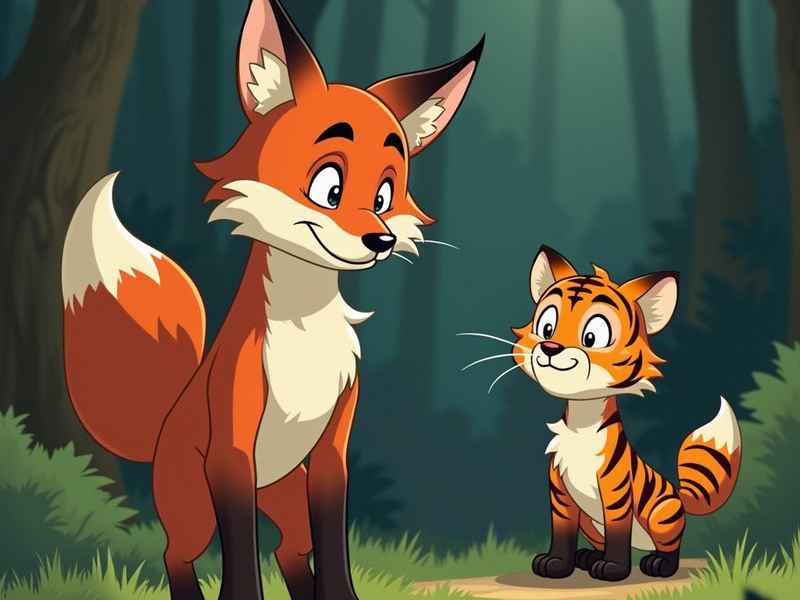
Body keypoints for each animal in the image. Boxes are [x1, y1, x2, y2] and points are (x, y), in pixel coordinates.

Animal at [511, 246, 741, 581]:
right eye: (547, 327)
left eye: (593, 336)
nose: (550, 347)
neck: (581, 423)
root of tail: (680, 496)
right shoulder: (561, 494)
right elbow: (562, 532)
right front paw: (556, 564)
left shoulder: (616, 492)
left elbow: (618, 534)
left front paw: (614, 570)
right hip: (590, 523)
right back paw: (588, 556)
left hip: (662, 514)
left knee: (669, 546)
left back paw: (658, 564)